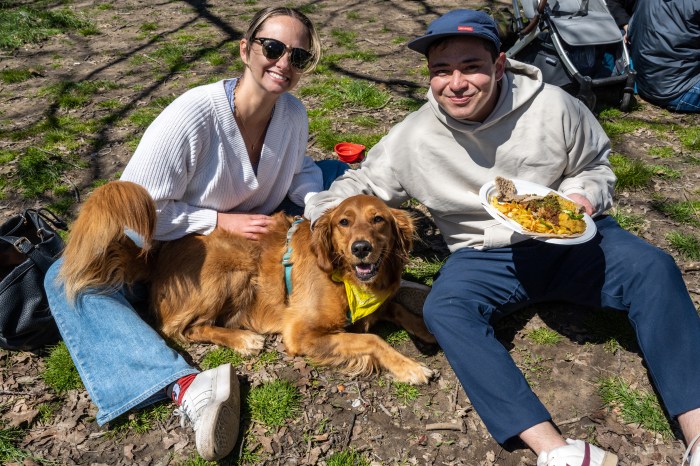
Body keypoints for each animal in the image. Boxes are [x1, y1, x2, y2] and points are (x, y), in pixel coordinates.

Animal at [60, 180, 434, 384]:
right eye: (344, 222)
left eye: (378, 220)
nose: (361, 248)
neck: (347, 281)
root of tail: (157, 256)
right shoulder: (301, 333)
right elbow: (373, 340)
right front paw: (410, 367)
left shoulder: (379, 303)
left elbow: (399, 308)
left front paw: (426, 328)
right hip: (233, 270)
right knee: (182, 328)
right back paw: (243, 339)